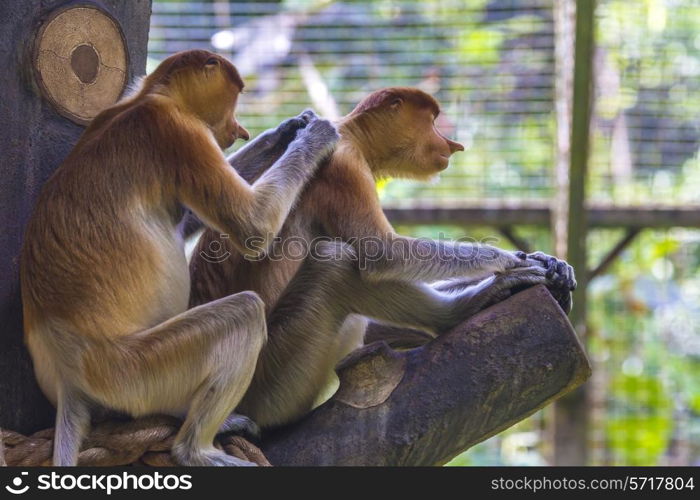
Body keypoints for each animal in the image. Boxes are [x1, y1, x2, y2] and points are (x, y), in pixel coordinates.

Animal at [20, 48, 338, 466]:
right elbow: (251, 226)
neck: (150, 97)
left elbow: (187, 219)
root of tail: (69, 376)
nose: (238, 130)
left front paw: (286, 130)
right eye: (236, 94)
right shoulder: (178, 132)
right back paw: (197, 451)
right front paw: (316, 134)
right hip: (134, 371)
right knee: (244, 313)